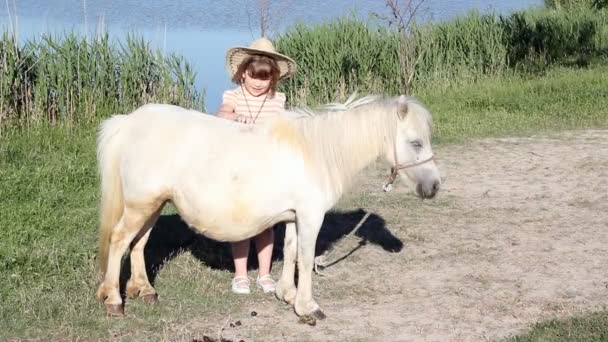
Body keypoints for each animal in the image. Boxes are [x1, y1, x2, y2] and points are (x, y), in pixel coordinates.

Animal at [95, 94, 440, 324]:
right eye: (416, 142)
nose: (435, 187)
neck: (316, 153)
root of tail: (129, 122)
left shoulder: (293, 216)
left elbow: (289, 251)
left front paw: (286, 294)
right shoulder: (311, 216)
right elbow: (305, 258)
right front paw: (308, 308)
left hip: (151, 204)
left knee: (139, 243)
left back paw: (145, 290)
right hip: (141, 204)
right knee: (120, 240)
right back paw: (114, 300)